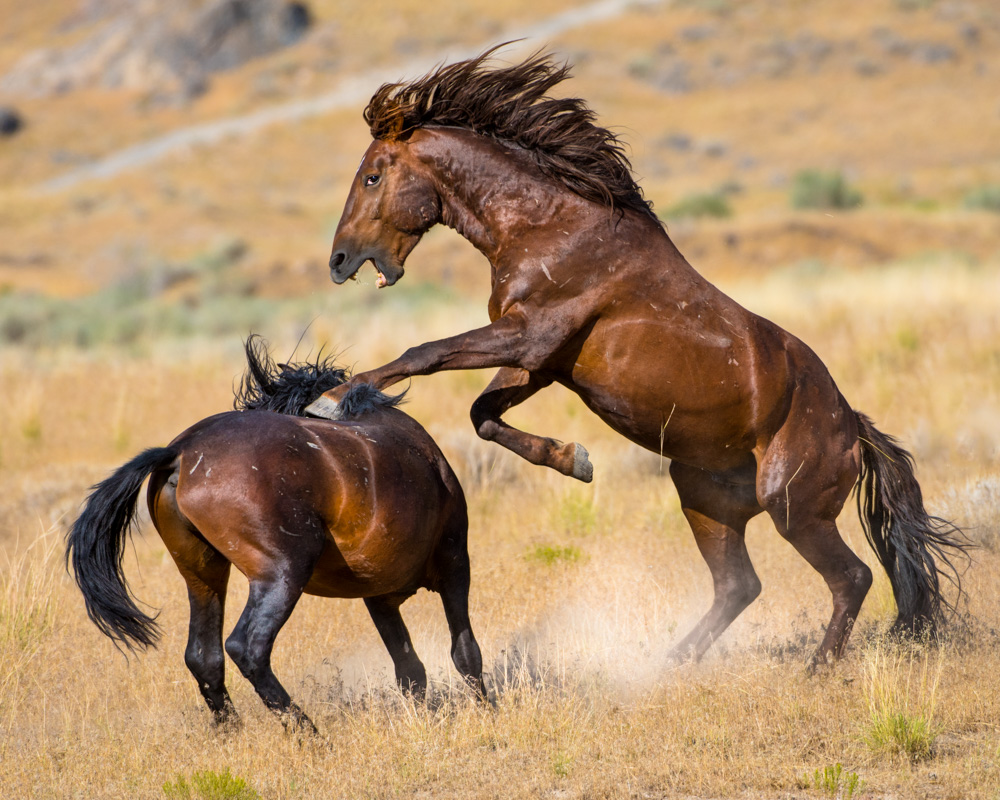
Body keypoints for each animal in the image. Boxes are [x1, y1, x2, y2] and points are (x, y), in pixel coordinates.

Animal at [66, 338, 484, 732]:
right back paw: (307, 732)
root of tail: (180, 454)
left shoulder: (378, 595)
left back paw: (232, 733)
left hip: (203, 573)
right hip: (282, 572)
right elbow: (464, 651)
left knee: (203, 655)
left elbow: (410, 668)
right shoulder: (453, 564)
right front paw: (486, 711)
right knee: (247, 647)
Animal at [306, 47, 968, 664]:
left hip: (794, 508)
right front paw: (575, 460)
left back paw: (815, 669)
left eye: (372, 177)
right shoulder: (541, 362)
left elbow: (425, 352)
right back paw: (671, 664)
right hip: (704, 496)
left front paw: (333, 399)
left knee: (851, 577)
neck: (548, 227)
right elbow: (482, 415)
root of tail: (853, 426)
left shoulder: (530, 335)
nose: (338, 261)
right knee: (739, 585)